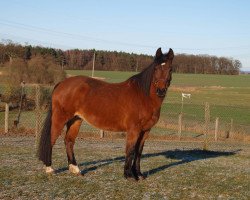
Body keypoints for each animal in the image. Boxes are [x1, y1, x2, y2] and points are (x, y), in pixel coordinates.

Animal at [38, 47, 174, 180]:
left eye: (170, 69)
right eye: (156, 68)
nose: (160, 90)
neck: (143, 96)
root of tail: (61, 83)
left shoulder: (145, 131)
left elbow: (138, 151)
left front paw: (139, 174)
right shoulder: (133, 129)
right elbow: (130, 150)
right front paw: (129, 175)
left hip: (76, 119)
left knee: (69, 141)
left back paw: (75, 169)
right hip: (60, 118)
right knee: (52, 139)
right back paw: (49, 169)